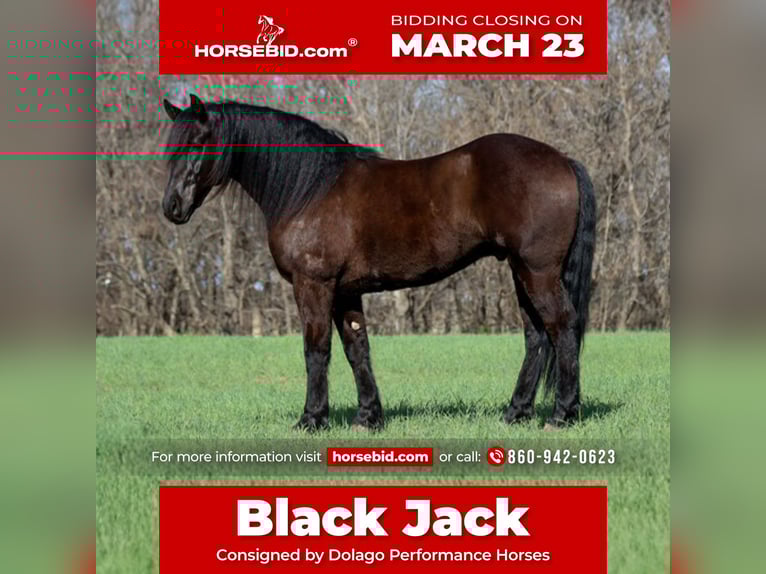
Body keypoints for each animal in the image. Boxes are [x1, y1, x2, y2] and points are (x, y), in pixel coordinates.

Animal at [161, 94, 596, 431]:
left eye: (198, 141)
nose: (172, 207)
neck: (312, 189)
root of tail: (562, 159)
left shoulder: (313, 284)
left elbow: (316, 349)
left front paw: (311, 418)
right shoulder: (346, 292)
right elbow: (357, 349)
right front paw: (368, 417)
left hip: (538, 272)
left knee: (561, 326)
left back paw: (561, 414)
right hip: (520, 270)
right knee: (536, 335)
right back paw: (516, 412)